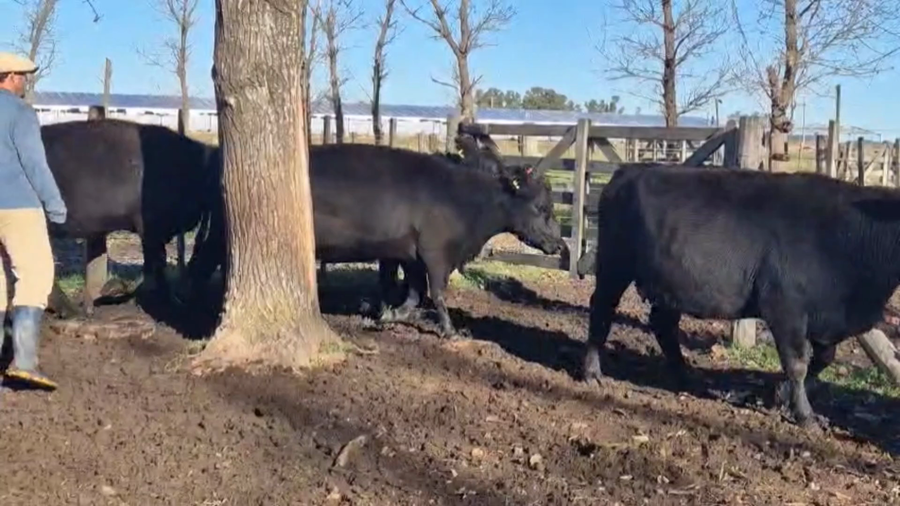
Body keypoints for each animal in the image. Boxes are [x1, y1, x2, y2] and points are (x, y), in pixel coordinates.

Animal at [185, 141, 568, 338]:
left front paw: (386, 315)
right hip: (218, 234)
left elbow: (414, 296)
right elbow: (438, 294)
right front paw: (450, 331)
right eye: (542, 207)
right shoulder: (435, 254)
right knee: (199, 268)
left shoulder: (411, 256)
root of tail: (217, 154)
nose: (559, 246)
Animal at [581, 163, 900, 429]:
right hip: (614, 264)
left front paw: (779, 394)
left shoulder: (824, 317)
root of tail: (629, 170)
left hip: (670, 282)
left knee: (664, 325)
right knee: (602, 310)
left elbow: (822, 360)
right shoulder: (785, 308)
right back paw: (592, 372)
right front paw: (805, 416)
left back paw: (685, 377)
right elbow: (798, 363)